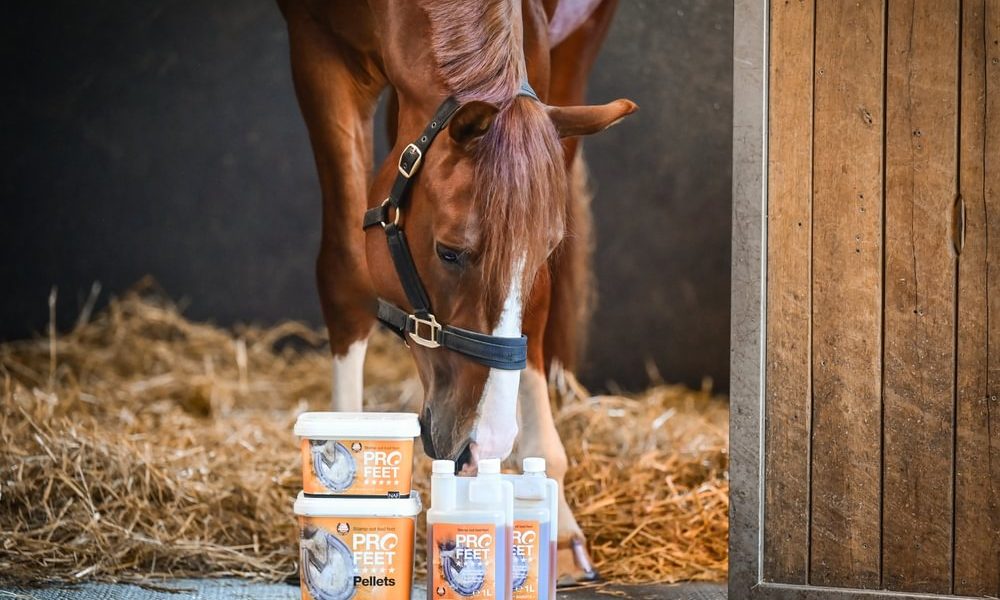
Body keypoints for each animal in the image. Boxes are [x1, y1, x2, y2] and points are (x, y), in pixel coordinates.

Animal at [276, 0, 636, 583]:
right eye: (448, 252)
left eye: (545, 252)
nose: (484, 444)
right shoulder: (317, 45)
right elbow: (344, 268)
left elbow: (538, 299)